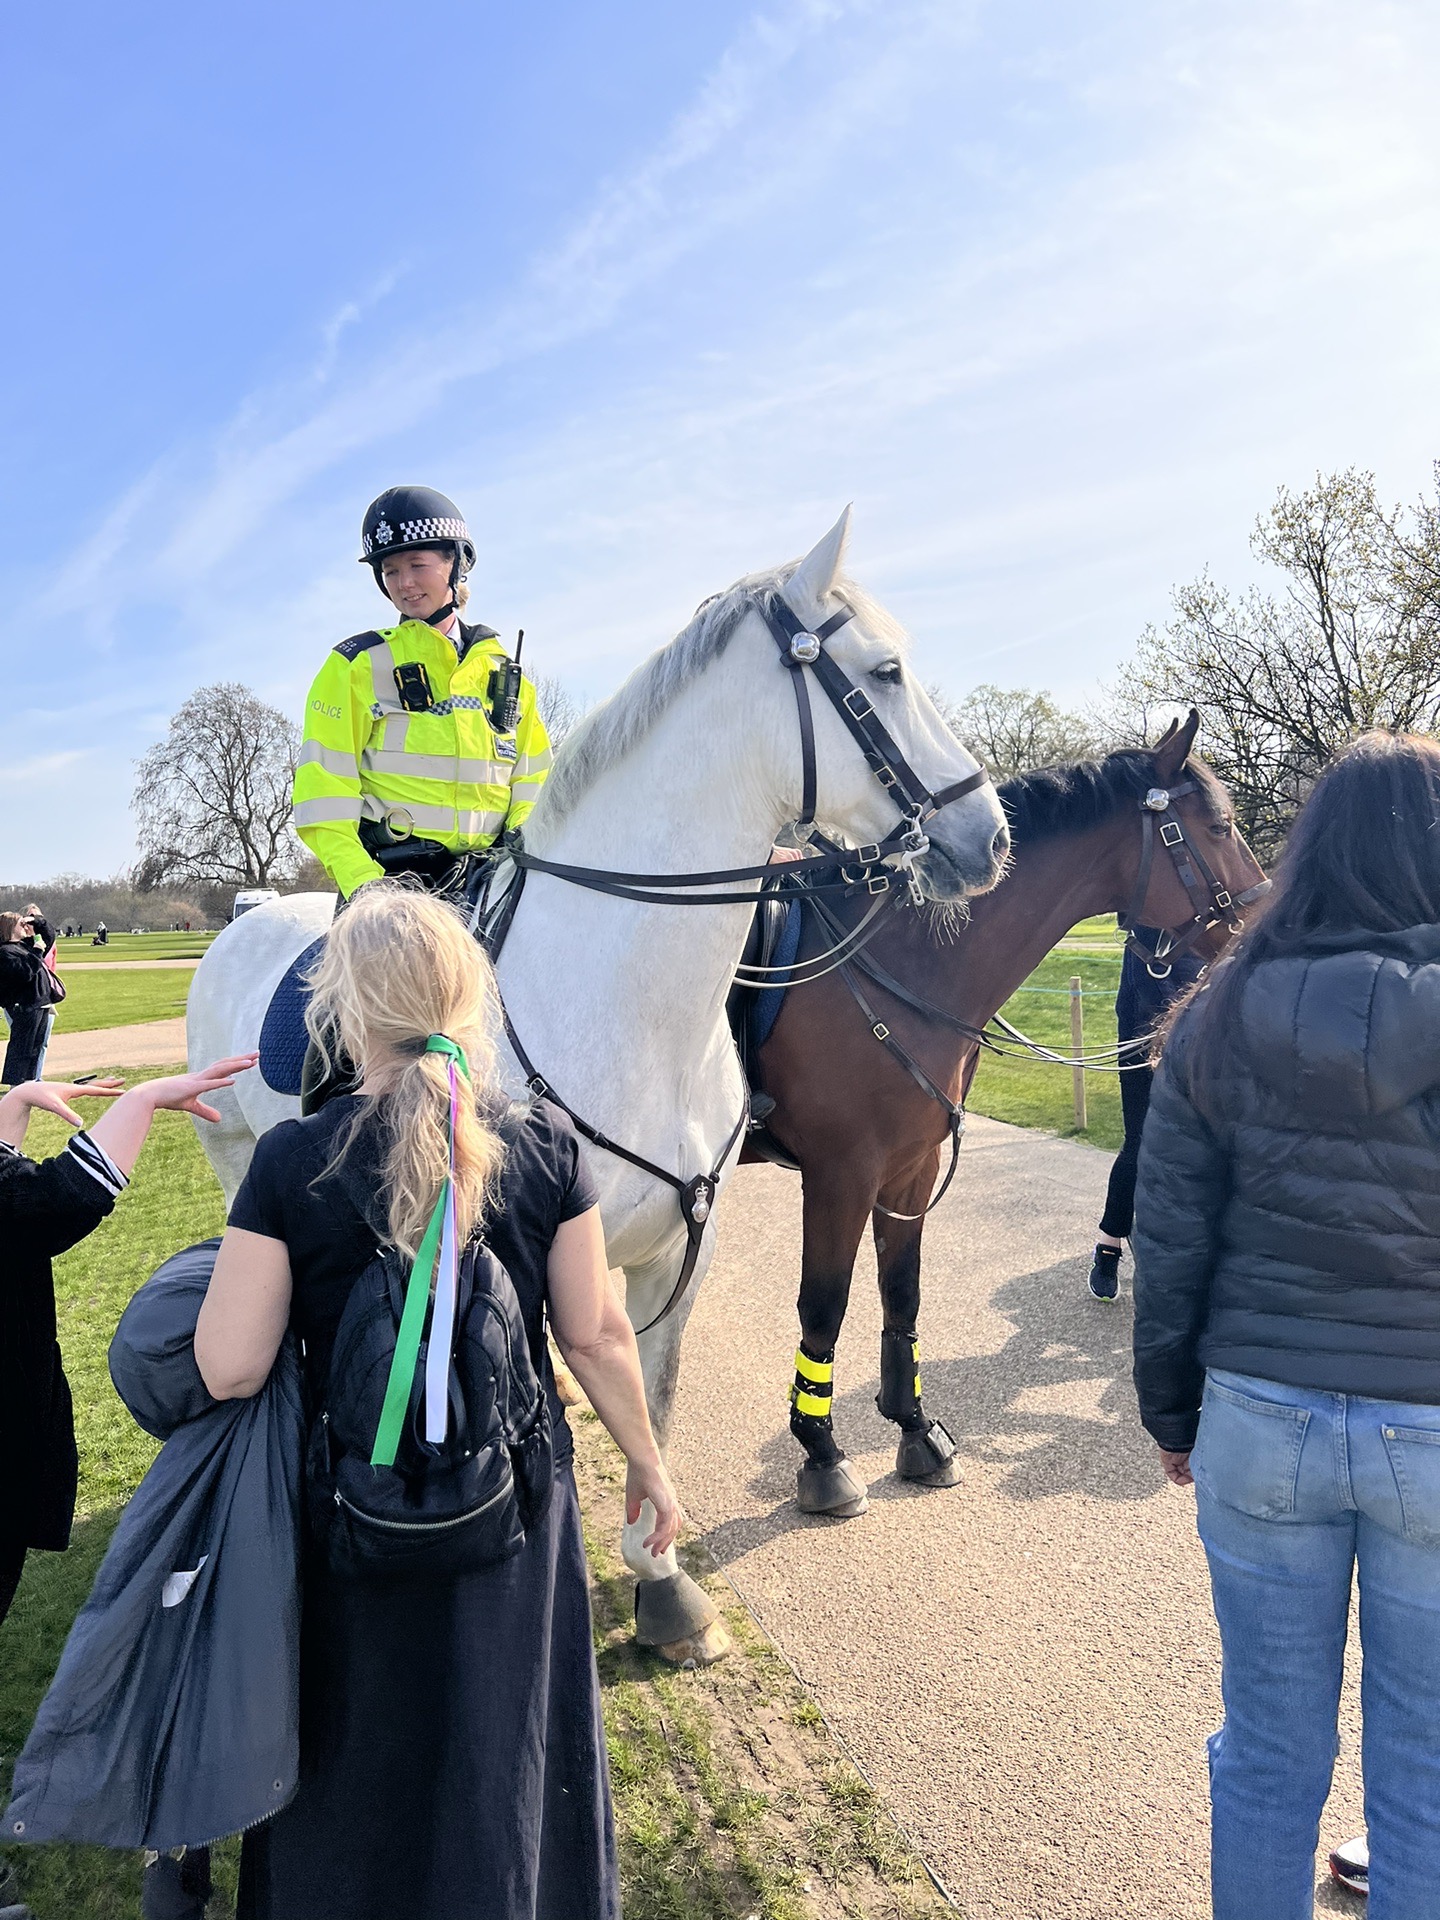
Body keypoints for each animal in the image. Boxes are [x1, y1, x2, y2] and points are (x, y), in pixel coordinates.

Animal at [186, 514, 1006, 1666]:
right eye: (885, 672)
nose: (990, 837)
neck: (631, 1004)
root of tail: (250, 920)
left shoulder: (679, 1249)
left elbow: (649, 1404)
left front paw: (662, 1584)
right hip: (234, 1167)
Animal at [748, 714, 1267, 1520]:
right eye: (1220, 826)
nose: (1262, 919)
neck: (895, 965)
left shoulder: (907, 1169)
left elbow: (902, 1295)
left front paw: (915, 1429)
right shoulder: (840, 1175)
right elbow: (824, 1308)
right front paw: (822, 1453)